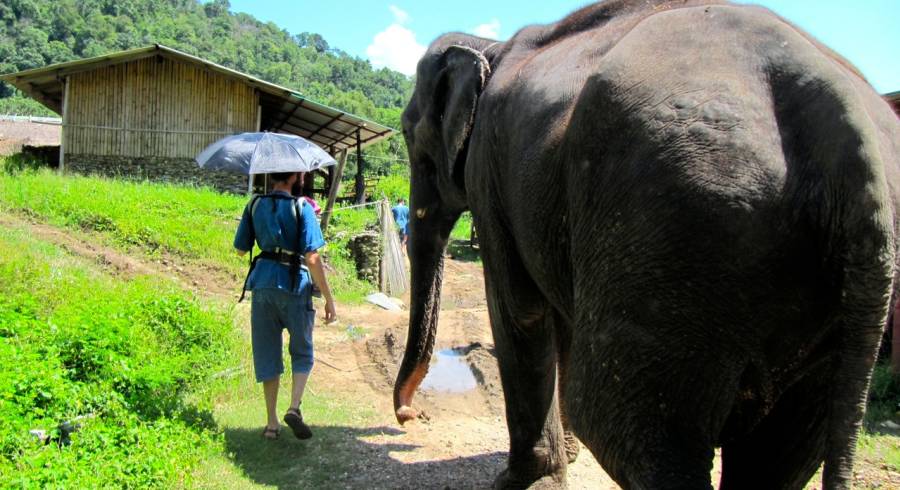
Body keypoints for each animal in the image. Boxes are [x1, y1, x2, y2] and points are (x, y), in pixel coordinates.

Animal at [392, 1, 900, 488]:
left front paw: (518, 481)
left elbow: (520, 310)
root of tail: (838, 117)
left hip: (675, 223)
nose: (410, 416)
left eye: (411, 138)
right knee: (784, 447)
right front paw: (565, 459)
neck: (490, 46)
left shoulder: (490, 173)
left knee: (621, 425)